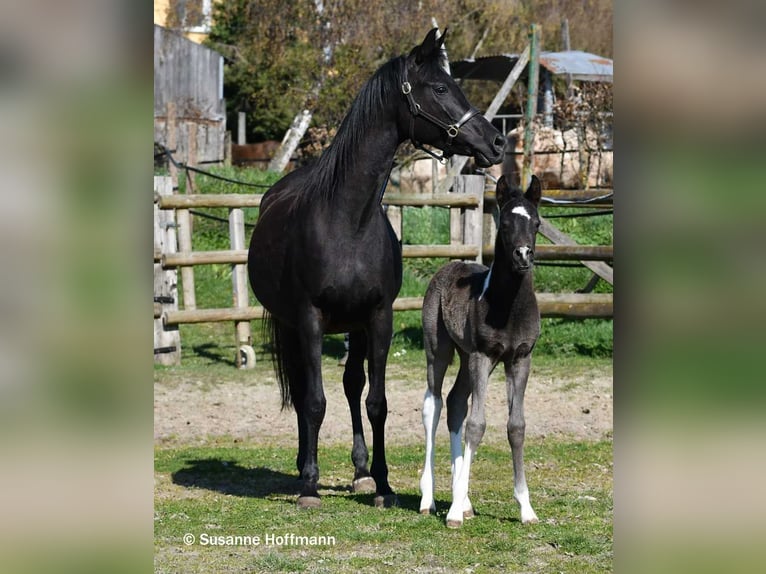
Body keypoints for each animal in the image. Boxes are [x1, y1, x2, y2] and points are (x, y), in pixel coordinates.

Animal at [247, 28, 505, 509]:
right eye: (440, 88)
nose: (496, 142)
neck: (348, 221)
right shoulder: (310, 319)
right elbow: (315, 402)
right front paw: (309, 486)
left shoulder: (378, 317)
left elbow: (376, 402)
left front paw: (382, 483)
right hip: (292, 325)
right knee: (303, 391)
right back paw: (302, 466)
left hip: (353, 326)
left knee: (351, 386)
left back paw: (360, 471)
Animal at [418, 174, 542, 527]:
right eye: (506, 224)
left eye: (537, 223)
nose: (523, 255)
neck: (508, 307)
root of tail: (447, 268)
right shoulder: (483, 355)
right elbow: (476, 425)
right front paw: (453, 512)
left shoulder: (519, 358)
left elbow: (516, 427)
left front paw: (526, 508)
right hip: (441, 352)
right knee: (433, 405)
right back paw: (429, 499)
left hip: (467, 359)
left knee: (455, 403)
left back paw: (465, 501)